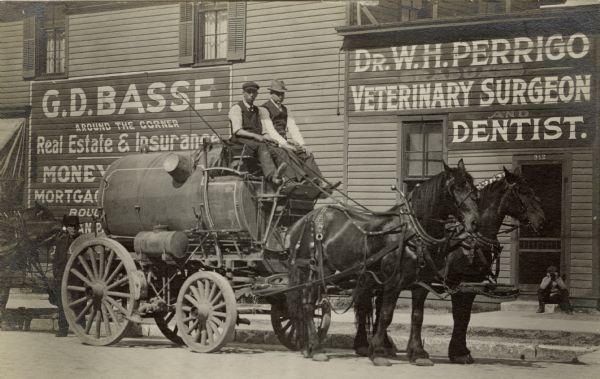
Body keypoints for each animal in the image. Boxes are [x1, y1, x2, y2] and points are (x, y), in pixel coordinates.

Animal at [284, 160, 478, 366]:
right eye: (454, 188)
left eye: (472, 187)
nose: (474, 222)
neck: (413, 232)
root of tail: (303, 221)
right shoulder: (393, 282)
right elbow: (386, 315)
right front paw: (377, 351)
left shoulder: (421, 284)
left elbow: (417, 317)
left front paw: (418, 353)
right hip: (314, 270)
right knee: (308, 306)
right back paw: (316, 348)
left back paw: (307, 347)